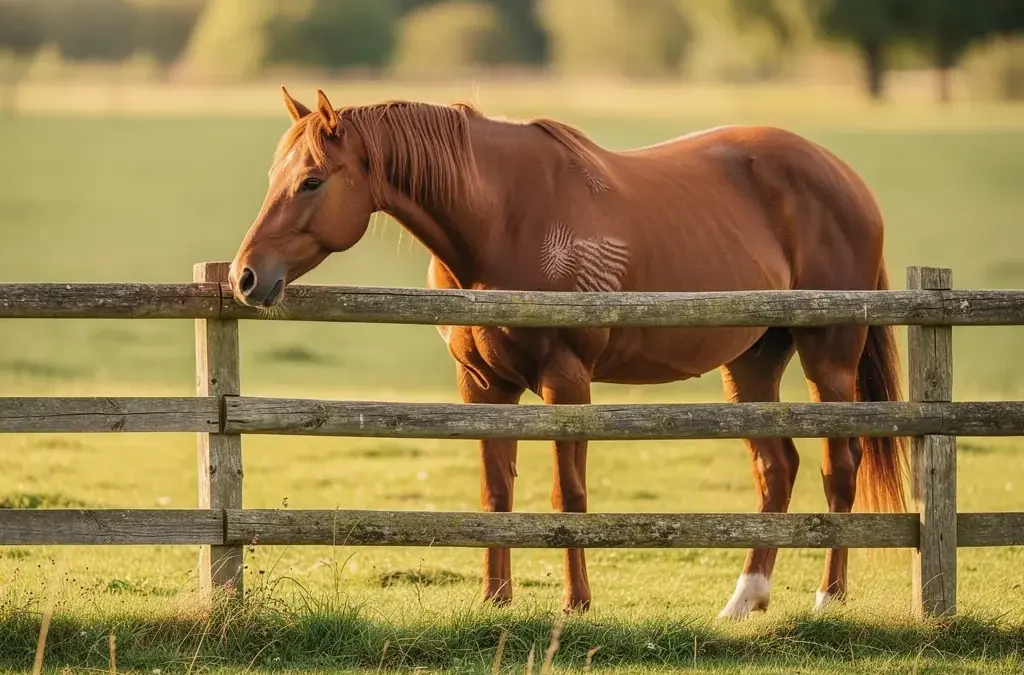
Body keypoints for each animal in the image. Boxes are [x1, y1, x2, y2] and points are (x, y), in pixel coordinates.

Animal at [227, 87, 908, 619]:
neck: (502, 218)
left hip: (829, 360)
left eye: (312, 181)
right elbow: (494, 492)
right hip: (751, 363)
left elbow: (569, 494)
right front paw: (494, 601)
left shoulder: (566, 381)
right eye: (275, 179)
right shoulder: (483, 386)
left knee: (838, 468)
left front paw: (576, 604)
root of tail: (848, 180)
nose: (245, 278)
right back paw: (745, 599)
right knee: (777, 469)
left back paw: (828, 598)